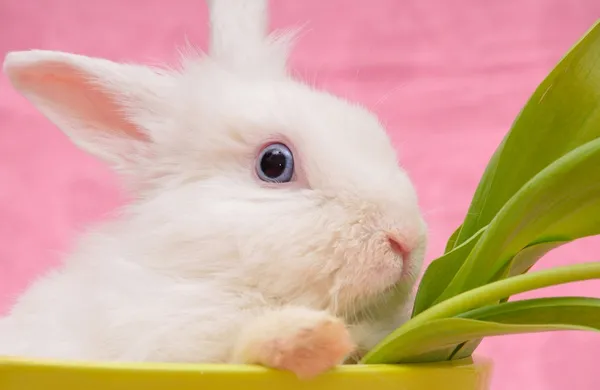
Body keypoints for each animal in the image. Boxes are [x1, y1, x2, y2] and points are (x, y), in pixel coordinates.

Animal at [0, 0, 426, 380]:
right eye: (274, 164)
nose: (404, 237)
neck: (211, 269)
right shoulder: (165, 340)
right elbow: (243, 347)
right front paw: (311, 337)